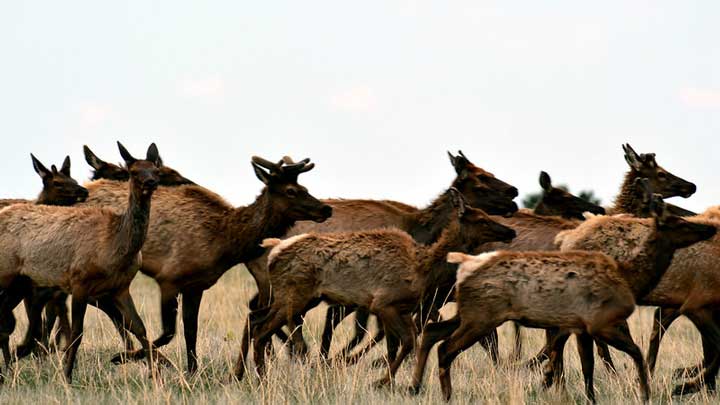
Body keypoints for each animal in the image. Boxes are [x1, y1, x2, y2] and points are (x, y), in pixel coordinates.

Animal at [0, 143, 163, 382]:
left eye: (155, 169)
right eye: (133, 172)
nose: (151, 182)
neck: (114, 245)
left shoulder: (120, 287)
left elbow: (139, 327)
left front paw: (155, 374)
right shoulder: (79, 282)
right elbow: (76, 334)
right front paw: (66, 376)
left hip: (20, 283)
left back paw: (8, 371)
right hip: (8, 276)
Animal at [76, 155, 332, 372]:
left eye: (305, 188)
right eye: (291, 191)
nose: (326, 208)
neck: (225, 243)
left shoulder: (195, 285)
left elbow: (191, 329)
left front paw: (192, 370)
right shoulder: (169, 278)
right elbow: (169, 332)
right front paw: (124, 357)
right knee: (103, 303)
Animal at [410, 190, 716, 400]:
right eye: (679, 223)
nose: (709, 226)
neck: (632, 277)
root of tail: (462, 264)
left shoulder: (580, 327)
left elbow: (586, 362)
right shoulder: (599, 324)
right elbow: (628, 355)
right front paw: (651, 391)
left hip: (468, 314)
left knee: (434, 333)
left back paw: (419, 385)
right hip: (479, 318)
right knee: (446, 346)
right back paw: (442, 392)